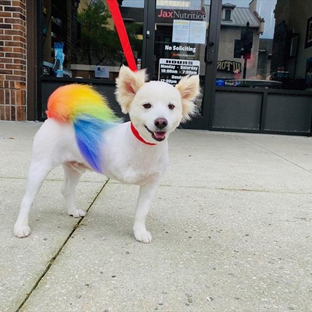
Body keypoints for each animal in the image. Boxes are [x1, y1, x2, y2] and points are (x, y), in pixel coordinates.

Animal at [13, 66, 199, 243]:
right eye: (147, 105)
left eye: (171, 106)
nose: (161, 122)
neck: (143, 146)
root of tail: (54, 114)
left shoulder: (151, 185)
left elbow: (142, 211)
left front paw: (139, 232)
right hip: (41, 166)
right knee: (27, 199)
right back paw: (21, 226)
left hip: (74, 168)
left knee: (66, 190)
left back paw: (73, 210)